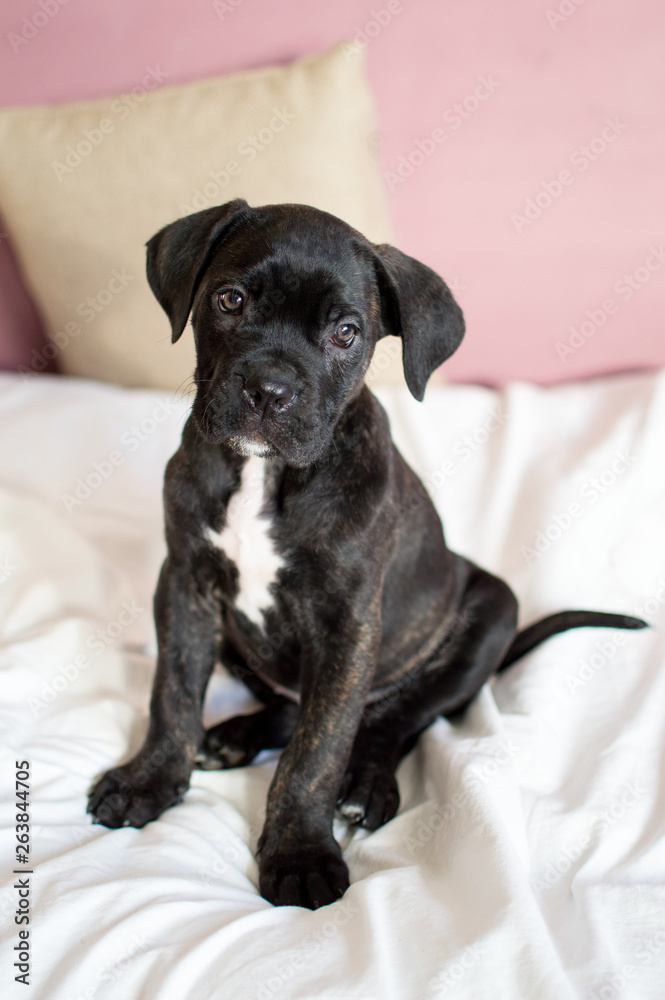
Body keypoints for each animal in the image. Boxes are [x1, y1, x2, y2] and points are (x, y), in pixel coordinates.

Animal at [87, 199, 644, 912]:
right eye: (230, 299)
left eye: (347, 333)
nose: (269, 389)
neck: (265, 475)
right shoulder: (185, 582)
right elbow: (174, 691)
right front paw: (150, 780)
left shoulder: (347, 622)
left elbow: (319, 750)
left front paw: (298, 850)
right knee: (293, 708)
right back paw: (235, 735)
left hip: (489, 613)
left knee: (391, 723)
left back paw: (367, 785)